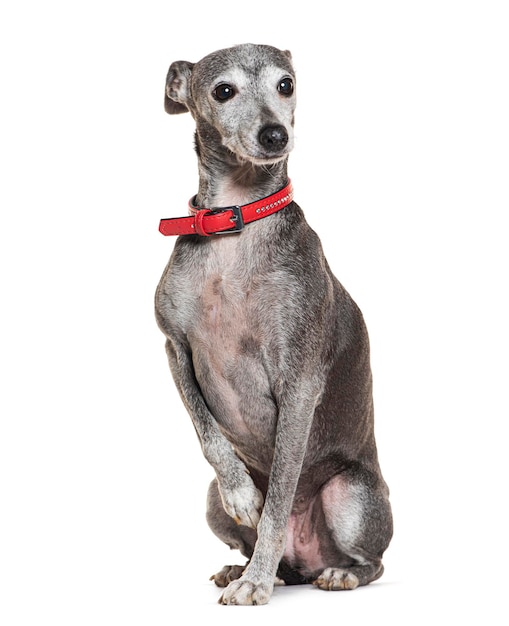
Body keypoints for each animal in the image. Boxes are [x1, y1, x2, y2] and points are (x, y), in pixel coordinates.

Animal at [155, 41, 392, 604]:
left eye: (287, 84)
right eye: (224, 90)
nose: (274, 135)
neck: (235, 226)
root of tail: (307, 562)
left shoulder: (299, 382)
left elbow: (280, 496)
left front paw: (256, 583)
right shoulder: (175, 349)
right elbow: (209, 436)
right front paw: (243, 494)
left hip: (352, 497)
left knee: (372, 562)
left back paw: (329, 573)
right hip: (209, 503)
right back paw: (243, 566)